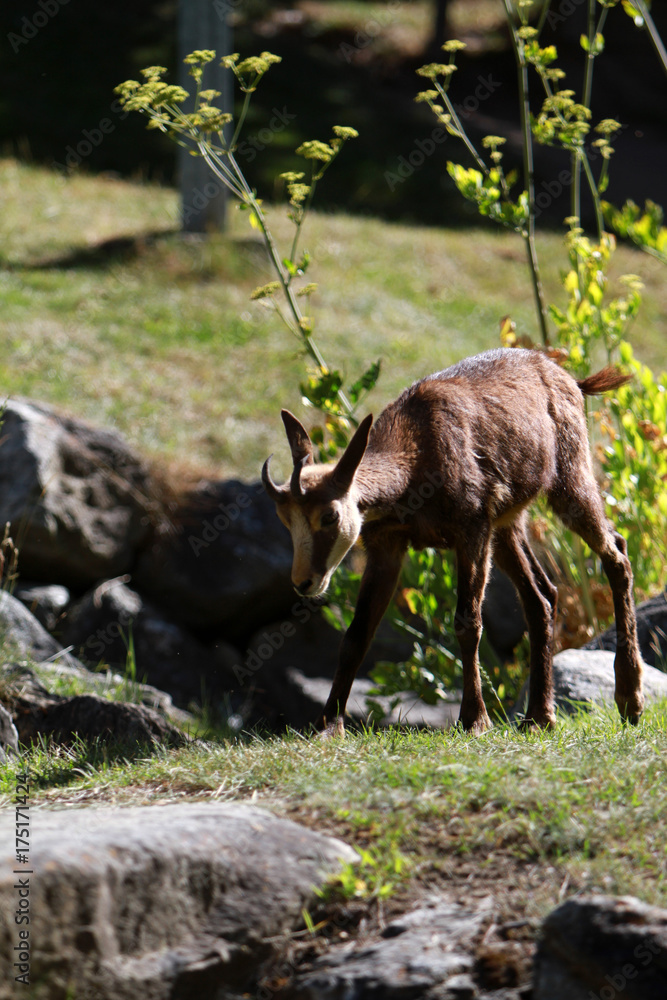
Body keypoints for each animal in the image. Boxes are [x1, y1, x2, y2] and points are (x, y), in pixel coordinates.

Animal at [262, 348, 644, 737]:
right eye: (285, 519)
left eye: (329, 516)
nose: (304, 582)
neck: (417, 456)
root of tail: (571, 380)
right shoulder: (387, 546)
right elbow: (357, 634)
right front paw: (328, 725)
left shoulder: (470, 528)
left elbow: (467, 622)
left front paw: (474, 719)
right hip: (506, 525)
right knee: (542, 595)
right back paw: (539, 716)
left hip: (569, 480)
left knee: (616, 552)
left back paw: (629, 701)